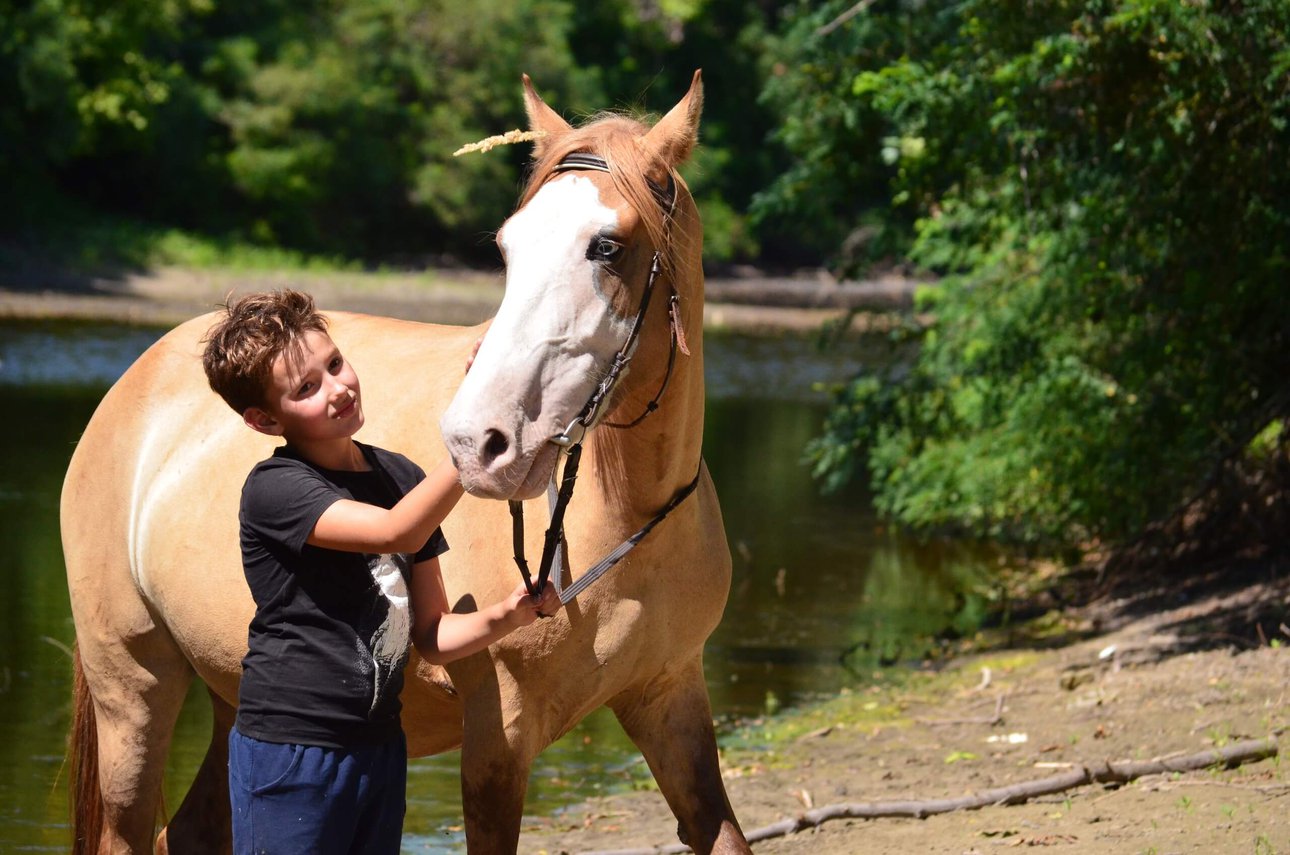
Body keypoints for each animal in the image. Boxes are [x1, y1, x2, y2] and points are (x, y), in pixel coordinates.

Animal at [60, 73, 753, 855]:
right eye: (509, 247)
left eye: (608, 245)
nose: (477, 442)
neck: (629, 517)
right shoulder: (498, 738)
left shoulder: (671, 697)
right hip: (133, 690)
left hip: (229, 693)